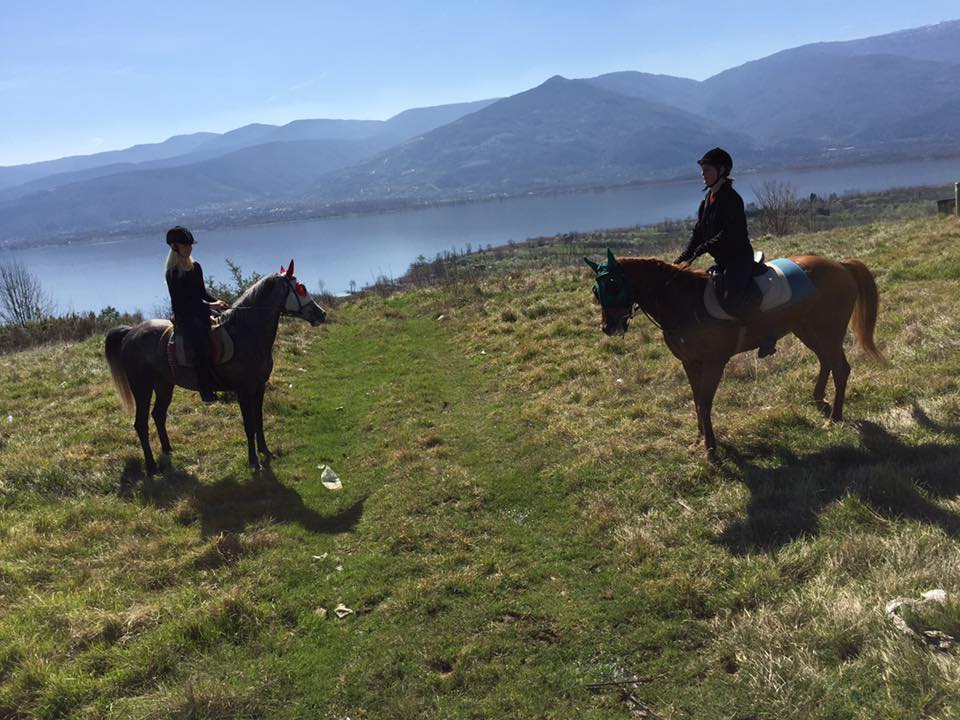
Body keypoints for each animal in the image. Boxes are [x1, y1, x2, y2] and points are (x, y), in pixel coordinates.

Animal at [103, 258, 324, 472]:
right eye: (301, 288)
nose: (321, 314)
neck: (246, 332)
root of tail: (130, 333)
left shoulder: (259, 386)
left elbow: (259, 420)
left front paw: (266, 452)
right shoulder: (243, 390)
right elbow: (249, 424)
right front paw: (254, 462)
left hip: (164, 384)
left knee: (158, 415)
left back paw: (168, 450)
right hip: (142, 388)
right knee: (141, 424)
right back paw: (151, 466)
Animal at [584, 250, 884, 458]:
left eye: (613, 285)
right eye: (596, 290)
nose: (609, 326)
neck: (684, 301)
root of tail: (841, 265)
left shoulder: (714, 362)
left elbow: (705, 403)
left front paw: (711, 449)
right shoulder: (690, 363)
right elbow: (697, 401)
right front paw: (699, 440)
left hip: (826, 332)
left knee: (840, 367)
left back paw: (834, 418)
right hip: (808, 331)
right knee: (826, 362)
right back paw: (819, 399)